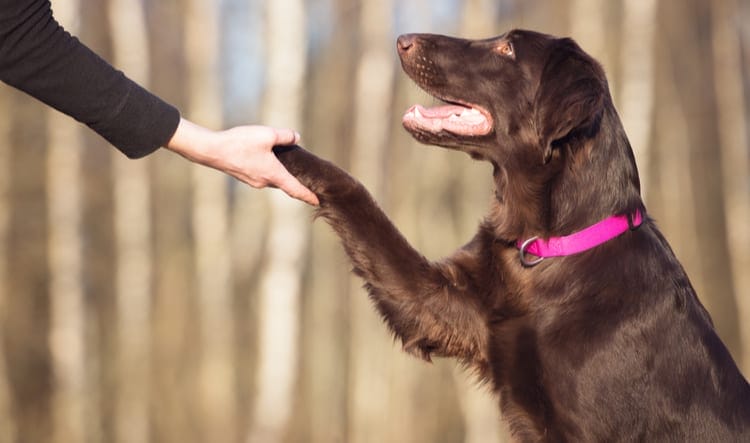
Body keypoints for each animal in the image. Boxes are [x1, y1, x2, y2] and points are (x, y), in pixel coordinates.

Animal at [274, 29, 750, 442]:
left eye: (506, 49)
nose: (403, 40)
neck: (548, 247)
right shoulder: (441, 304)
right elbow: (357, 196)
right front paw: (281, 148)